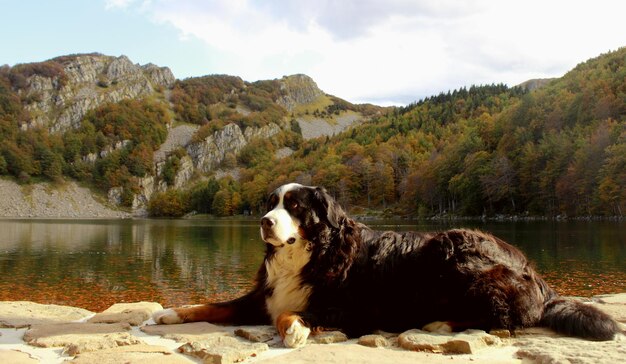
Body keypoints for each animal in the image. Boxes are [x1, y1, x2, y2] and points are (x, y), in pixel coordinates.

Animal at [152, 182, 620, 346]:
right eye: (271, 204)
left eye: (295, 206)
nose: (265, 222)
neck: (311, 254)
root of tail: (534, 271)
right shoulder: (262, 296)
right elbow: (215, 305)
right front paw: (174, 313)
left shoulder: (348, 309)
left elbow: (291, 314)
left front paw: (296, 331)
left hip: (453, 246)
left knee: (502, 318)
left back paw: (439, 323)